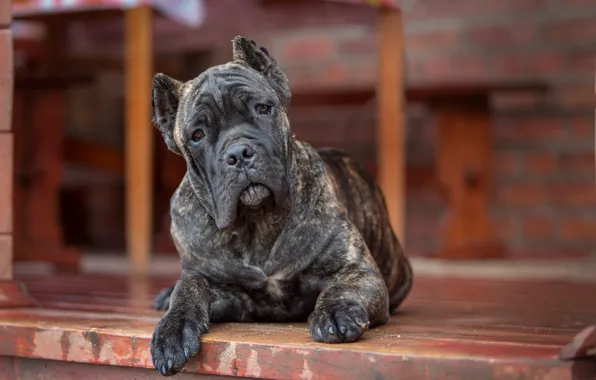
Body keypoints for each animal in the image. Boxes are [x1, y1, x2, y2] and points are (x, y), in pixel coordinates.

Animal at [149, 36, 414, 378]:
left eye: (262, 108)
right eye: (197, 135)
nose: (238, 153)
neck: (257, 221)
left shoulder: (358, 269)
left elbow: (342, 288)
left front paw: (335, 313)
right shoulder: (218, 284)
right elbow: (188, 288)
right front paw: (173, 329)